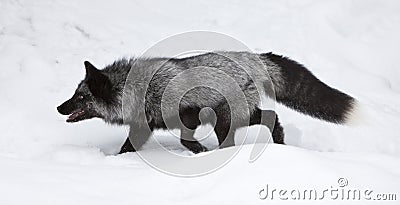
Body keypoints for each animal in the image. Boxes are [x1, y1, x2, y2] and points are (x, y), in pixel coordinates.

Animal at [55, 51, 356, 154]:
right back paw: (280, 146)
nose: (59, 107)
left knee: (251, 128)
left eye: (81, 97)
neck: (143, 90)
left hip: (226, 119)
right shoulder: (144, 126)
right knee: (272, 117)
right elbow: (128, 147)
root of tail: (254, 57)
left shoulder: (188, 114)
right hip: (239, 115)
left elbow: (185, 140)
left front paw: (201, 152)